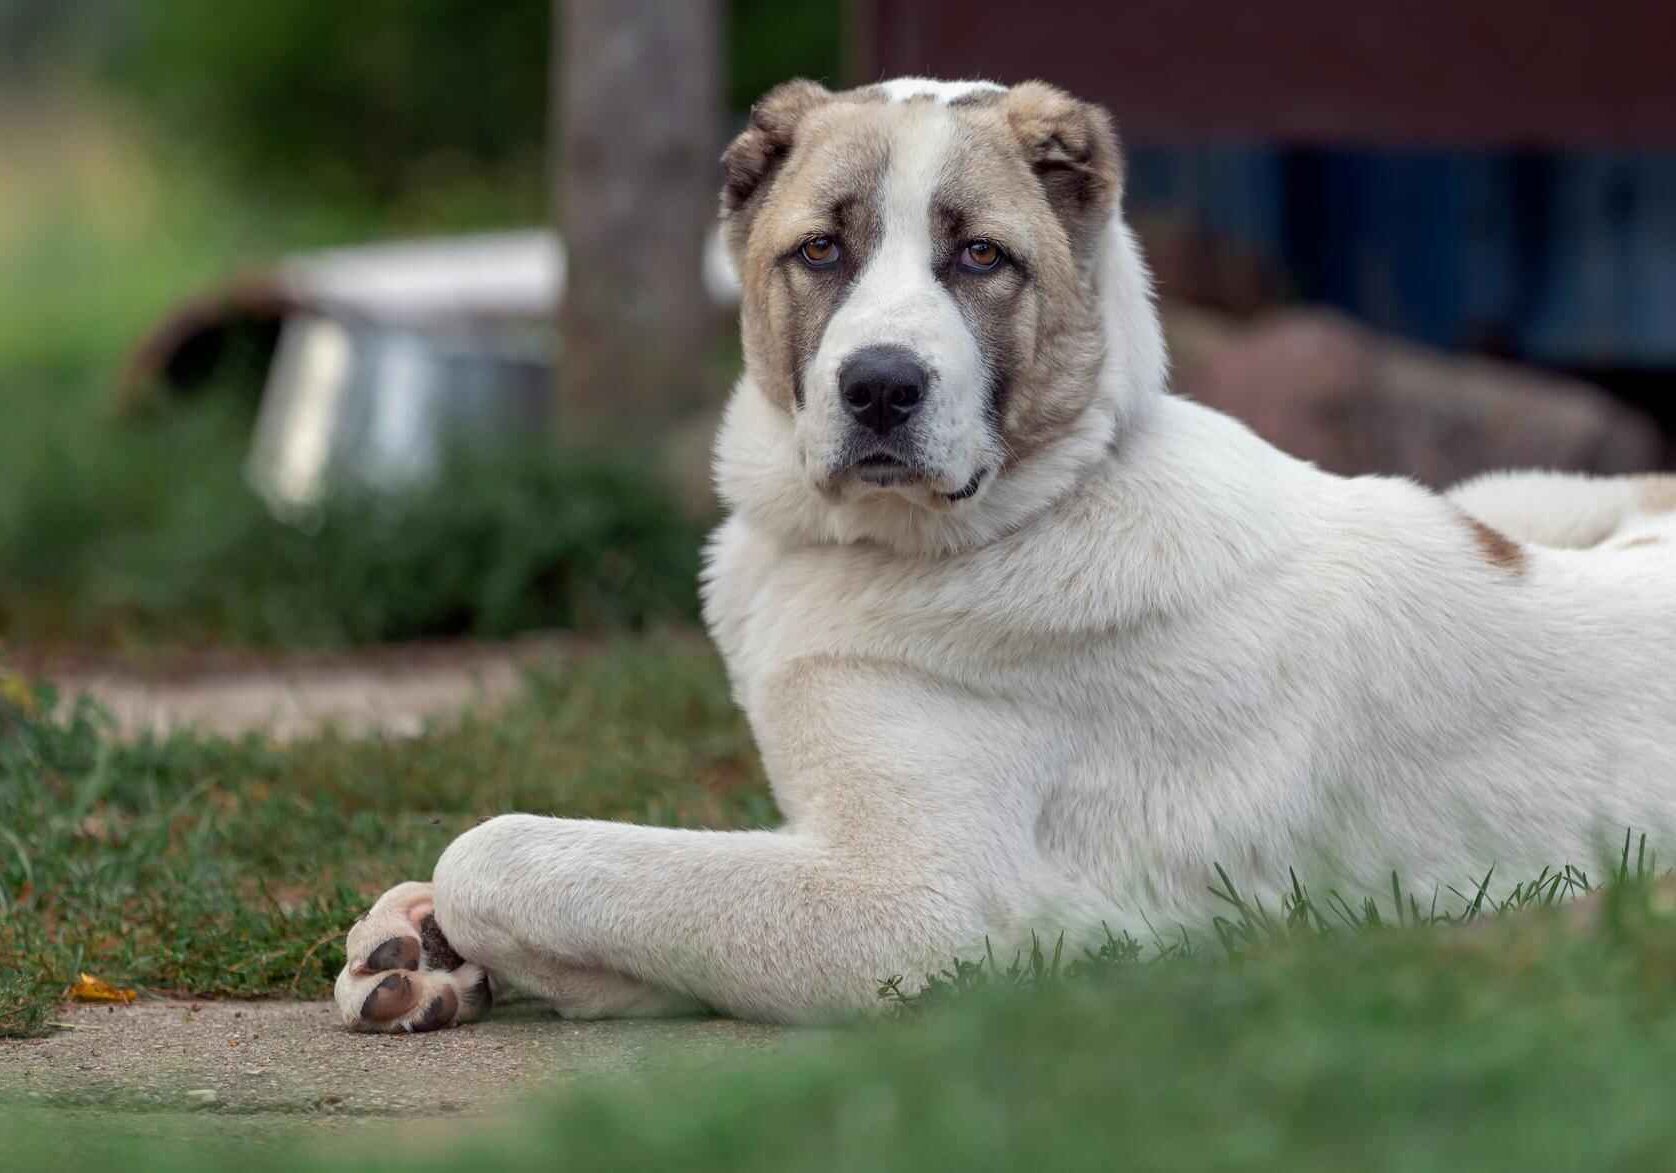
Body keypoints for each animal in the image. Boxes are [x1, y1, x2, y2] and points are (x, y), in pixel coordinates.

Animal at [333, 77, 1676, 1032]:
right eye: (821, 251)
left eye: (979, 256)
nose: (880, 387)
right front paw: (419, 948)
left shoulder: (913, 910)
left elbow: (516, 851)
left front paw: (465, 925)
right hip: (1517, 492)